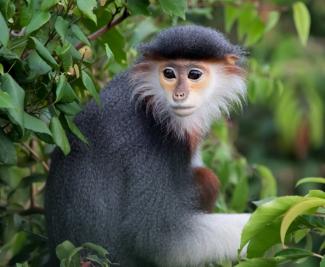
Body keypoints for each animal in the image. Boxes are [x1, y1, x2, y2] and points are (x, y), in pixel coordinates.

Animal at [45, 25, 248, 267]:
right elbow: (153, 236)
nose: (179, 95)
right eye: (169, 74)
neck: (153, 102)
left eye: (194, 75)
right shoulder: (149, 146)